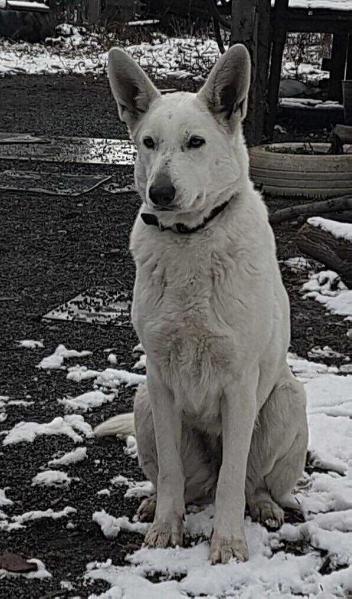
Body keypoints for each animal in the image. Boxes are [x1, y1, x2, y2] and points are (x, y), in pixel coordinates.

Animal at [94, 44, 308, 564]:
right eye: (149, 143)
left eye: (195, 142)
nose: (160, 193)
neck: (190, 238)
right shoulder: (161, 381)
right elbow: (172, 470)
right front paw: (166, 528)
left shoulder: (239, 385)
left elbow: (233, 477)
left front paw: (227, 543)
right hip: (144, 404)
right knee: (188, 483)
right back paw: (156, 503)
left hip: (285, 401)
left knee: (248, 481)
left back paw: (264, 506)